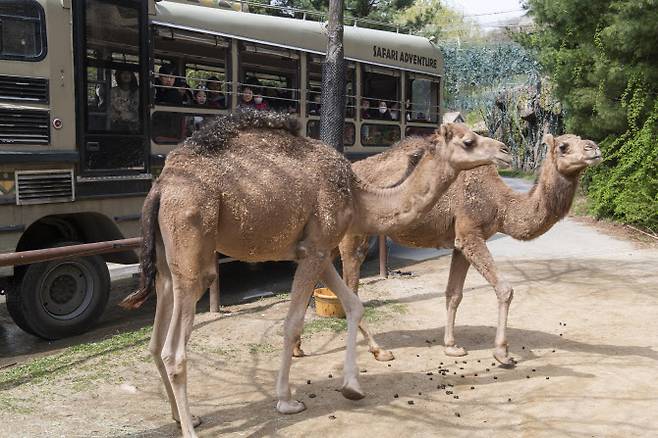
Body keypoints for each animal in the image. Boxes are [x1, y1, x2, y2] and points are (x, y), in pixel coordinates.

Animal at [119, 110, 508, 438]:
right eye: (468, 141)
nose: (504, 151)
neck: (358, 194)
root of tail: (160, 187)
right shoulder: (316, 248)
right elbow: (292, 323)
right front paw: (286, 400)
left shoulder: (318, 249)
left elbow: (353, 305)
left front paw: (353, 386)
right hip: (192, 247)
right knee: (174, 350)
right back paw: (190, 428)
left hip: (166, 263)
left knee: (155, 339)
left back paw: (182, 416)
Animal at [334, 133, 600, 366]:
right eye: (563, 146)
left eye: (581, 139)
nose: (594, 148)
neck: (500, 203)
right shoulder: (470, 232)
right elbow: (505, 289)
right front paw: (502, 353)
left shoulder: (459, 243)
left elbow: (454, 294)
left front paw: (451, 346)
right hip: (353, 235)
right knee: (351, 290)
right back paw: (378, 350)